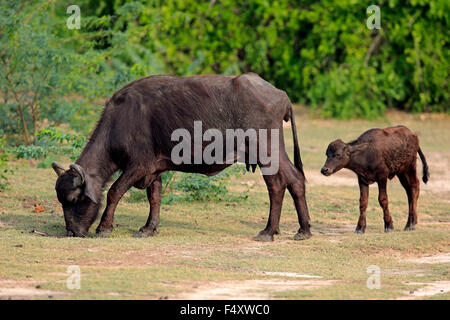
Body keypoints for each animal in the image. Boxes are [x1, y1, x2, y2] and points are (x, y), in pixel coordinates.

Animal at [51, 73, 310, 242]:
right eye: (60, 201)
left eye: (73, 200)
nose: (71, 232)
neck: (122, 120)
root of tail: (281, 95)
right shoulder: (153, 169)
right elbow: (154, 198)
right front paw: (148, 228)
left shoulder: (138, 166)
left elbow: (114, 191)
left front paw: (104, 228)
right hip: (275, 151)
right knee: (295, 179)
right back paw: (303, 230)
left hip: (264, 151)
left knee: (276, 185)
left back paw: (268, 231)